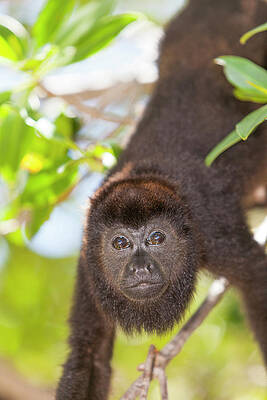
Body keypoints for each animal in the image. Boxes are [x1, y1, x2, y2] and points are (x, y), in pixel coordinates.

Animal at [56, 1, 267, 398]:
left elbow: (257, 283)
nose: (140, 268)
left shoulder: (211, 230)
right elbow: (88, 351)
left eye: (156, 238)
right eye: (120, 243)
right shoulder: (88, 262)